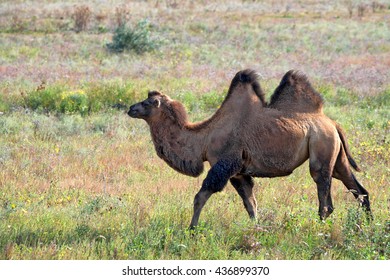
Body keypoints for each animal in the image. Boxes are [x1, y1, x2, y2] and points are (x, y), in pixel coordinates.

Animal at [127, 69, 372, 229]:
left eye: (148, 103)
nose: (130, 108)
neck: (203, 138)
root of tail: (332, 123)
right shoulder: (238, 172)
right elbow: (251, 203)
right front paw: (257, 229)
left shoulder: (224, 162)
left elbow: (201, 195)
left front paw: (192, 230)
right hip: (336, 155)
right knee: (358, 189)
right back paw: (369, 225)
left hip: (321, 147)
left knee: (325, 197)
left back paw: (319, 229)